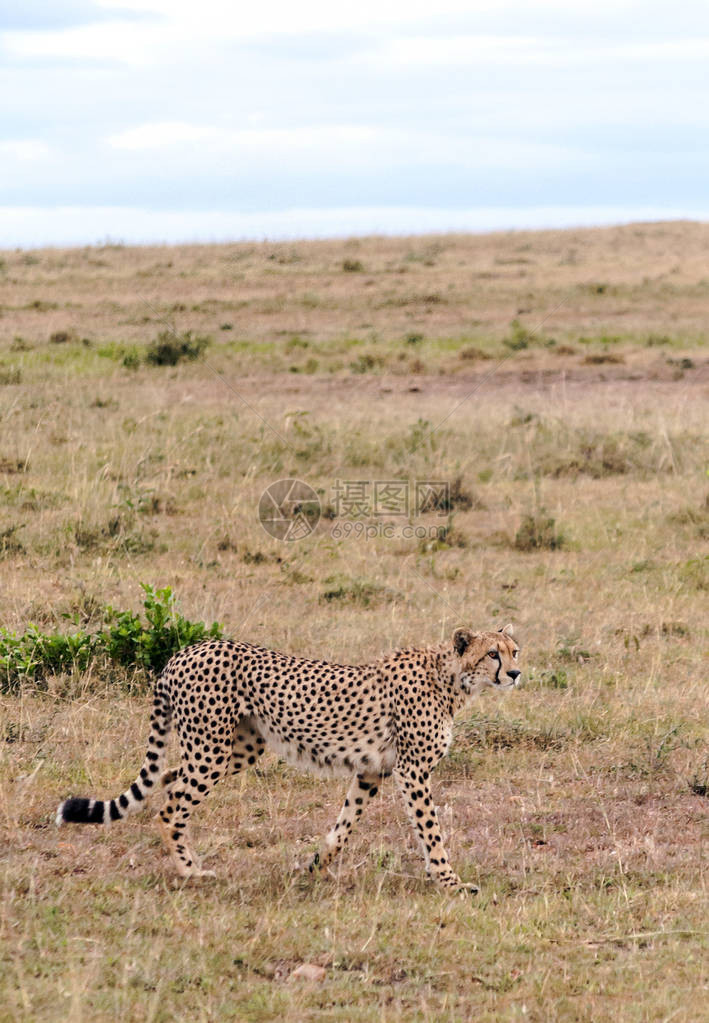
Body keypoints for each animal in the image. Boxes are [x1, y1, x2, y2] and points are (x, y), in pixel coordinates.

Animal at [56, 617, 519, 892]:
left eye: (514, 650)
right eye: (491, 654)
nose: (515, 673)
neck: (452, 679)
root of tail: (184, 651)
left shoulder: (372, 771)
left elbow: (344, 825)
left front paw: (314, 865)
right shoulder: (412, 771)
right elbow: (431, 829)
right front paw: (450, 881)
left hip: (237, 748)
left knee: (167, 779)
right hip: (211, 750)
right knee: (171, 805)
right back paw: (191, 870)